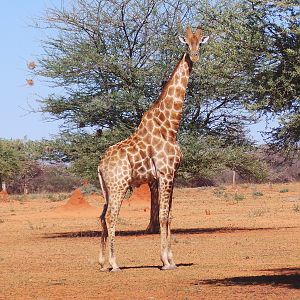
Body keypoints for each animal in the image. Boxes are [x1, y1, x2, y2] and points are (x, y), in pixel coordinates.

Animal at [98, 26, 209, 272]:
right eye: (186, 43)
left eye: (200, 43)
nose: (195, 56)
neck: (170, 126)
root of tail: (99, 165)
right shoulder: (165, 173)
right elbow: (164, 216)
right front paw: (166, 262)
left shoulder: (173, 174)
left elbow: (170, 215)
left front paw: (171, 259)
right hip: (119, 185)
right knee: (111, 216)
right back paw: (114, 263)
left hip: (107, 189)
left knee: (101, 216)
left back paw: (101, 263)